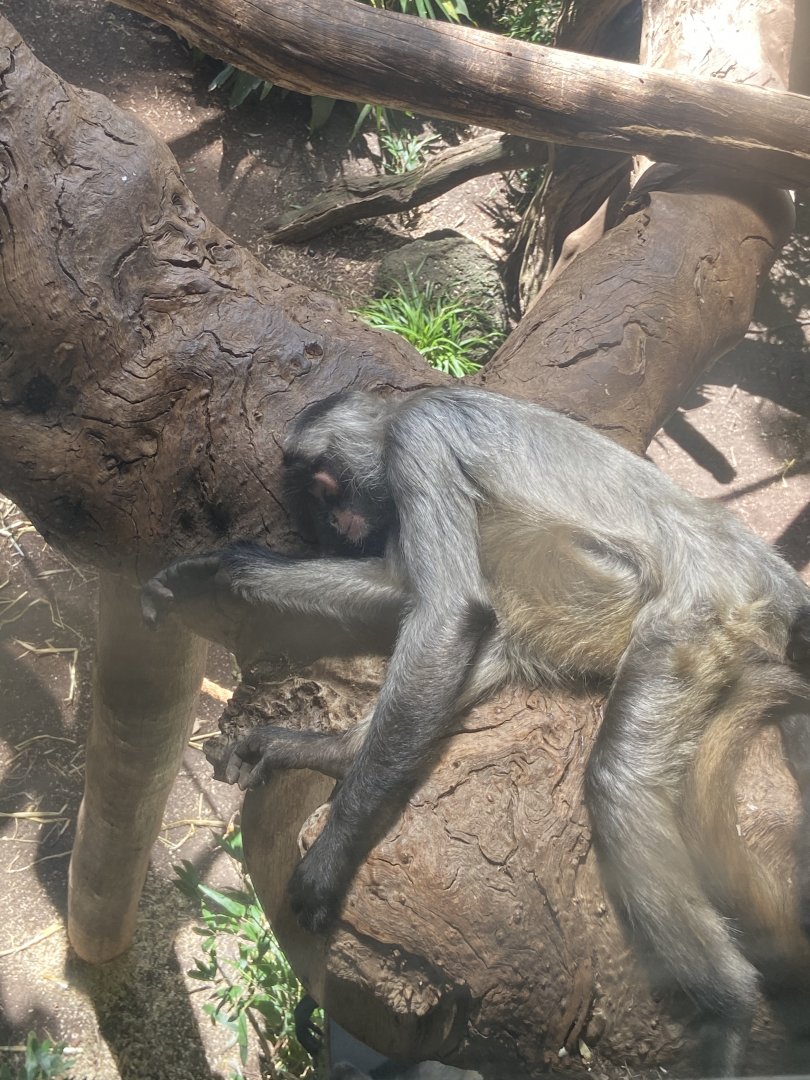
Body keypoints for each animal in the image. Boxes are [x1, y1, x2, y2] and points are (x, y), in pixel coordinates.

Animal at [142, 386, 810, 1076]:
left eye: (327, 489)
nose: (339, 524)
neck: (407, 407)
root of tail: (760, 568)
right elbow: (408, 596)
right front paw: (220, 567)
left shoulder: (419, 438)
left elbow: (446, 615)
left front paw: (331, 856)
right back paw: (333, 752)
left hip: (697, 621)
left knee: (614, 777)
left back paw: (728, 1011)